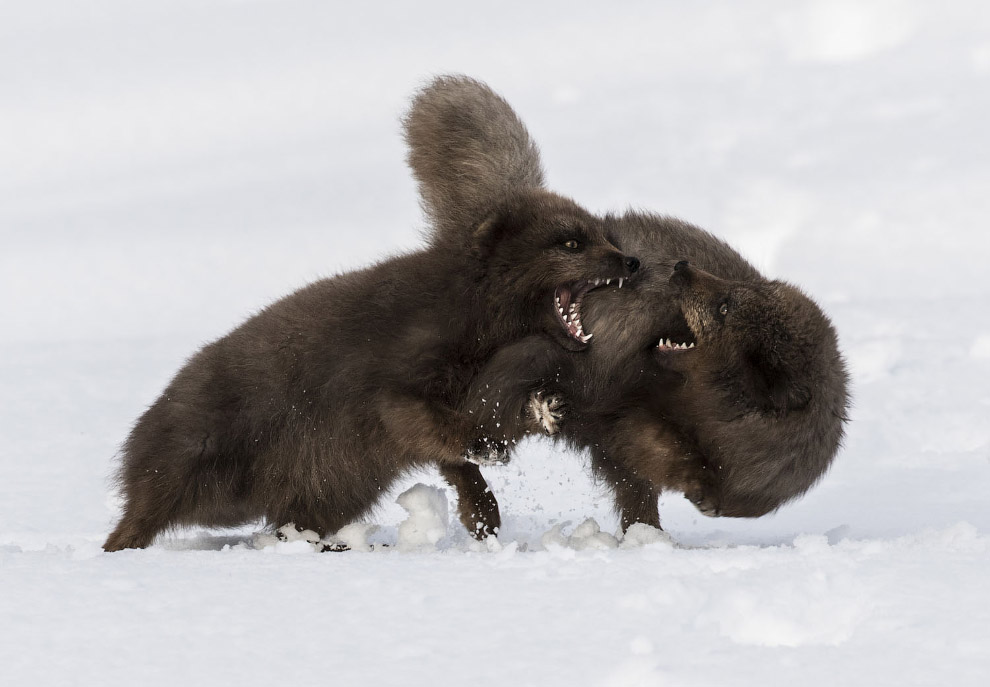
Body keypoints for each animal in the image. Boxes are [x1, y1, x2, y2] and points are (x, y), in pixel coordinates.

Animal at [406, 74, 848, 528]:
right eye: (731, 296)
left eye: (726, 307)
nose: (680, 268)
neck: (711, 424)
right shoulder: (617, 410)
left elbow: (646, 478)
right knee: (462, 439)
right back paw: (482, 509)